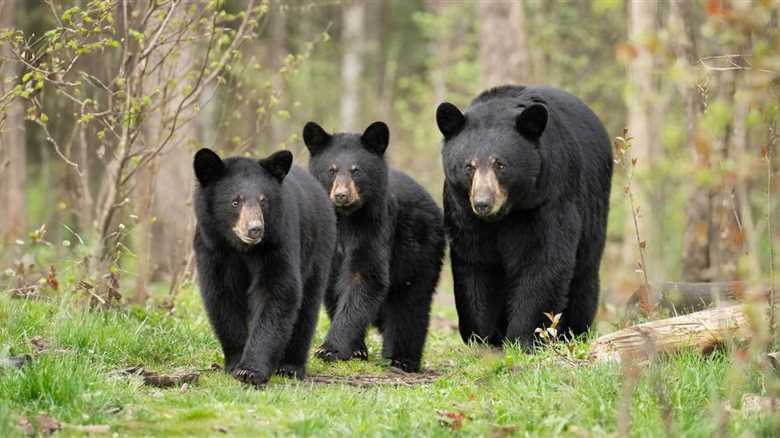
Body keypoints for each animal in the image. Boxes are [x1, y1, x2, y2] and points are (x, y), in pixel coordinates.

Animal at [192, 148, 336, 386]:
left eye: (263, 200)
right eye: (235, 201)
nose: (255, 229)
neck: (242, 248)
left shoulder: (278, 242)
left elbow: (277, 292)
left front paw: (250, 370)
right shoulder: (212, 248)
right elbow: (222, 297)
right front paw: (235, 363)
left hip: (318, 247)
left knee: (307, 306)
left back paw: (290, 366)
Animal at [303, 120, 446, 372]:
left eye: (356, 170)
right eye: (331, 170)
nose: (341, 195)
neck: (345, 218)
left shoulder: (375, 226)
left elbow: (365, 276)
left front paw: (330, 349)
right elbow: (333, 287)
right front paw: (356, 349)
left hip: (421, 249)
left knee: (411, 303)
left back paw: (402, 359)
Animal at [435, 85, 613, 349]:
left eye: (500, 165)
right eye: (469, 166)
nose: (483, 203)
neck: (506, 213)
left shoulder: (547, 199)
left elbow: (543, 260)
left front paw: (524, 338)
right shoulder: (463, 212)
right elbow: (476, 263)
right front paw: (481, 337)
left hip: (594, 209)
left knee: (584, 275)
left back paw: (575, 330)